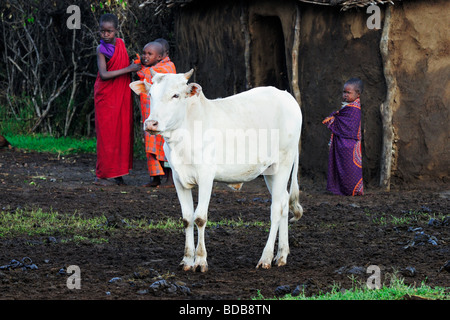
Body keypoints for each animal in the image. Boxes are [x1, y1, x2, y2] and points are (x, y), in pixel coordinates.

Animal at [132, 69, 304, 272]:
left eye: (176, 95)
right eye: (151, 94)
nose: (151, 123)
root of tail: (287, 96)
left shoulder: (206, 176)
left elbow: (200, 218)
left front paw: (200, 261)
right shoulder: (177, 178)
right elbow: (187, 218)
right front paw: (187, 260)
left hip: (283, 162)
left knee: (276, 208)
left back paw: (266, 257)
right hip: (269, 171)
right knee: (284, 201)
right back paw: (282, 255)